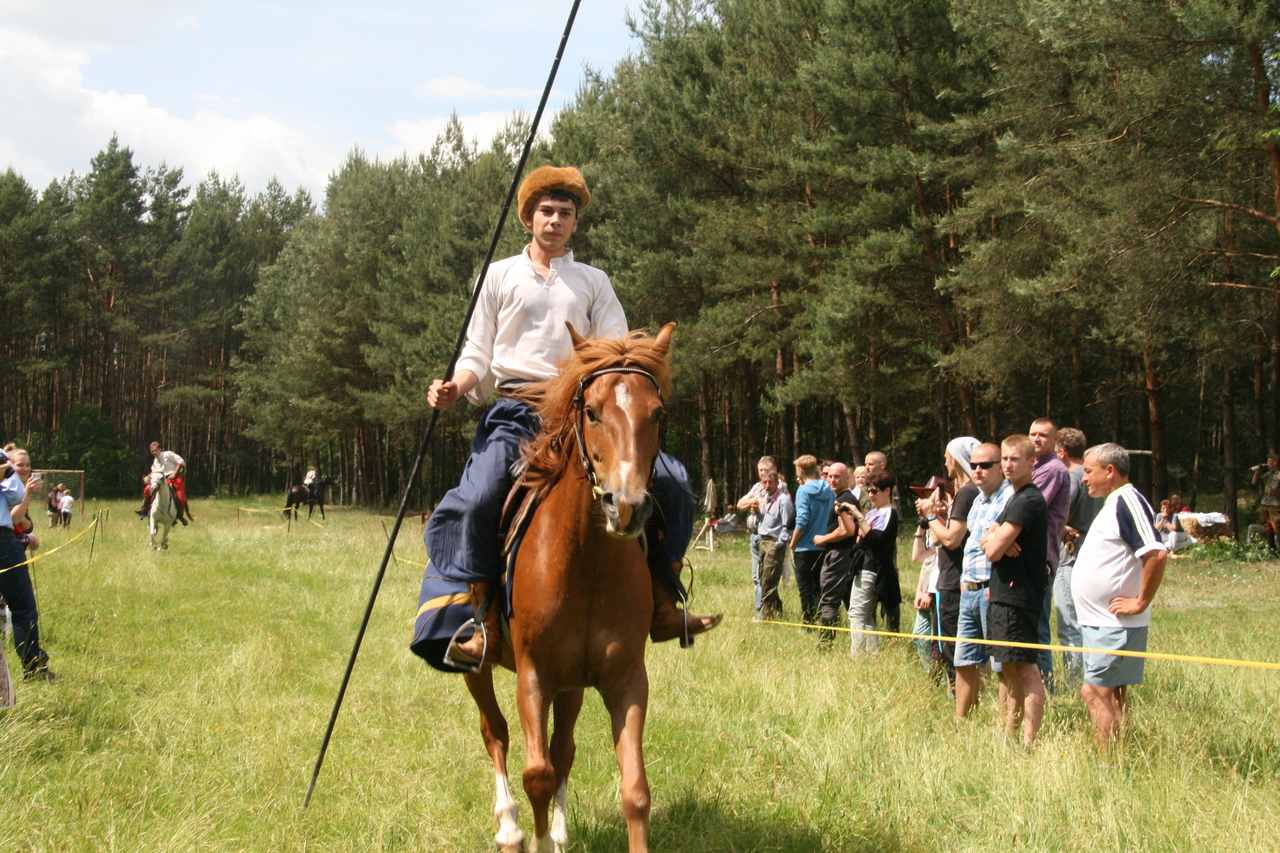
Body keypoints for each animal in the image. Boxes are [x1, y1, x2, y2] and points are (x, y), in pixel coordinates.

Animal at [463, 322, 680, 845]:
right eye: (592, 411)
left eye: (657, 413)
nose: (627, 506)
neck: (586, 563)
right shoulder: (534, 675)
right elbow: (536, 774)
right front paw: (535, 838)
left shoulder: (624, 678)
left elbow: (634, 791)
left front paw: (557, 834)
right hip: (477, 667)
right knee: (494, 732)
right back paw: (510, 829)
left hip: (572, 683)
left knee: (563, 747)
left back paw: (559, 833)